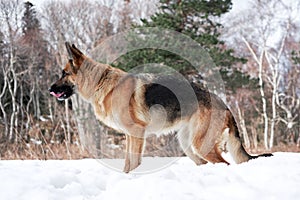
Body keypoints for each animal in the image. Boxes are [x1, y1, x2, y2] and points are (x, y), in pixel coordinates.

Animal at [49, 43, 272, 173]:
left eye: (64, 73)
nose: (50, 90)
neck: (101, 82)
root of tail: (224, 104)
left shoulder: (136, 133)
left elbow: (133, 163)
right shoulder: (131, 135)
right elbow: (127, 163)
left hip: (201, 145)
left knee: (224, 165)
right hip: (188, 145)